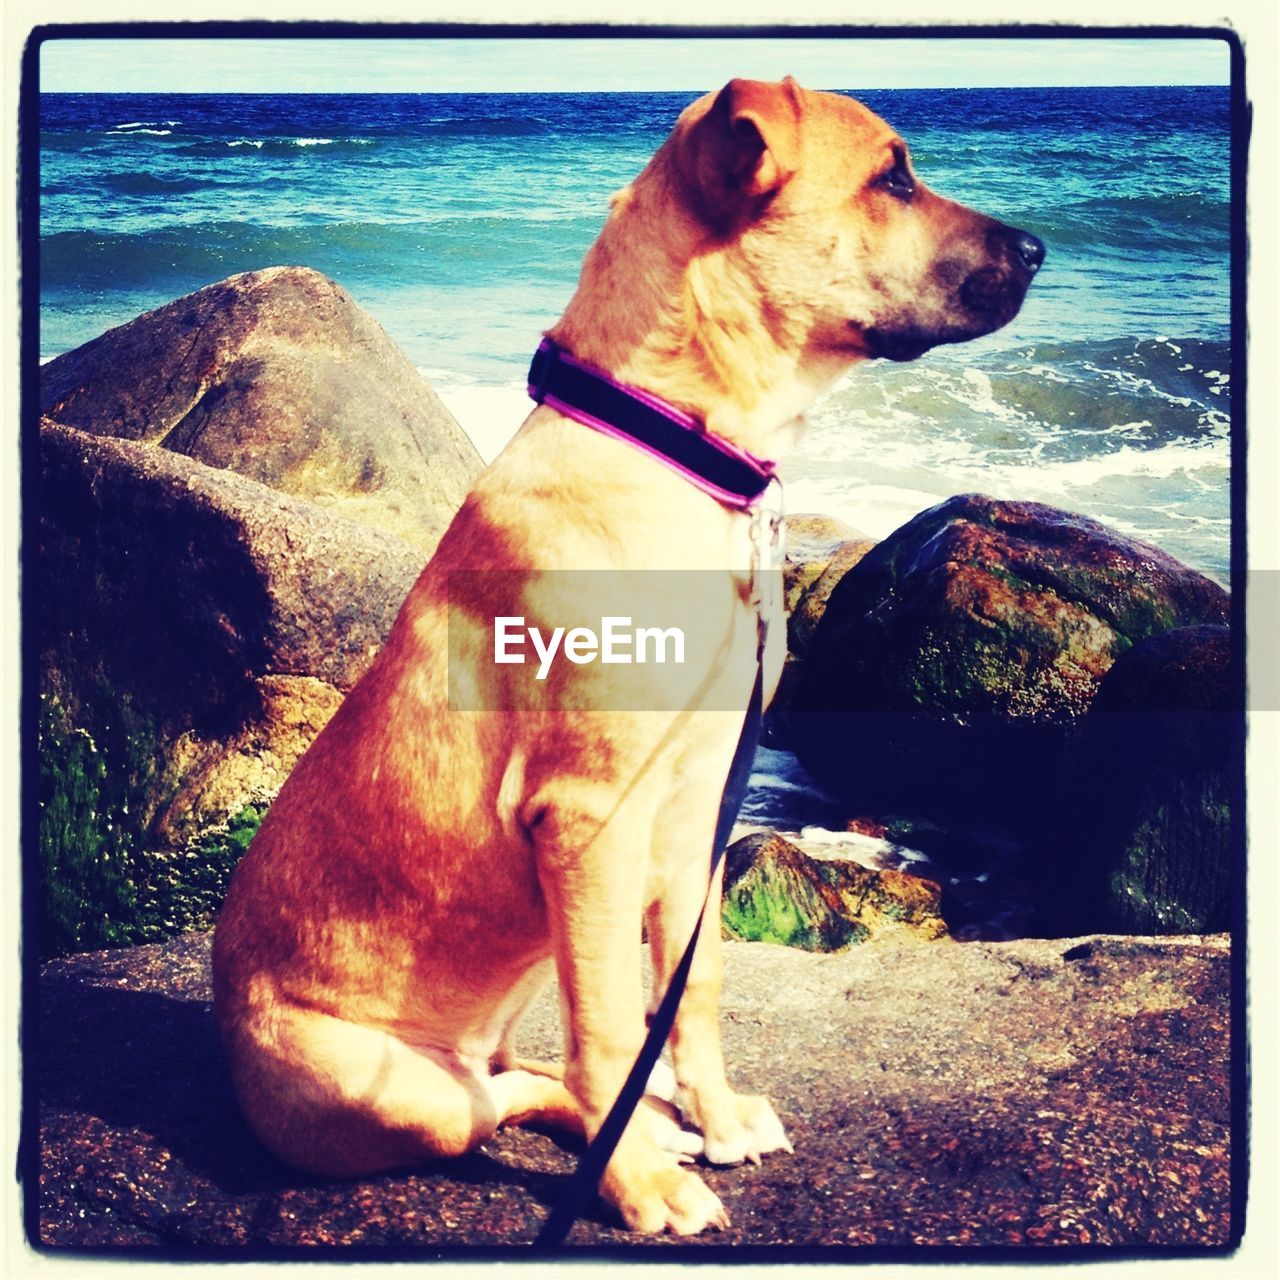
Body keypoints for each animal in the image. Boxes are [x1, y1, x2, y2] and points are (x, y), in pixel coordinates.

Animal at [215, 74, 1044, 1233]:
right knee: (512, 1095)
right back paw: (636, 1150)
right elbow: (609, 1027)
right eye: (892, 178)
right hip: (399, 1094)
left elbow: (690, 990)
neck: (669, 444)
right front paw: (642, 1189)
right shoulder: (589, 820)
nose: (1040, 249)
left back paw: (657, 1127)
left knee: (523, 1078)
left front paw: (716, 1118)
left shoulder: (697, 811)